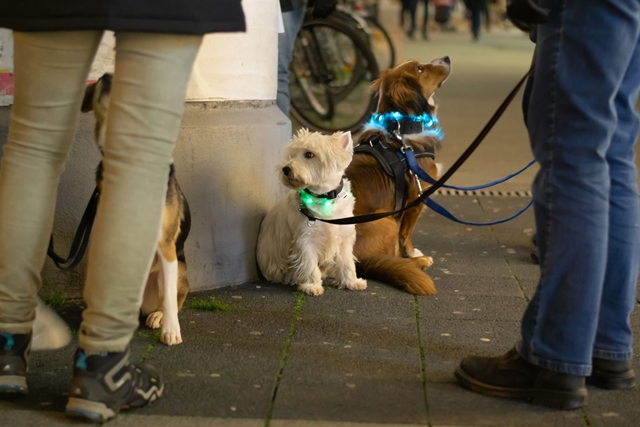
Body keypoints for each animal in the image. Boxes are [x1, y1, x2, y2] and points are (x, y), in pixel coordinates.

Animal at [81, 73, 190, 346]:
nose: (107, 75)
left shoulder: (165, 244)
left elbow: (170, 298)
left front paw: (171, 331)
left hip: (177, 268)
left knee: (172, 299)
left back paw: (159, 317)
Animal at [255, 130, 364, 298]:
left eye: (309, 154)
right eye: (292, 155)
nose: (286, 169)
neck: (325, 199)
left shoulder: (344, 238)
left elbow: (346, 263)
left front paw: (352, 282)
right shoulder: (305, 239)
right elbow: (309, 264)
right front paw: (312, 286)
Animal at [348, 56, 452, 296]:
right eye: (420, 69)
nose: (447, 58)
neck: (401, 129)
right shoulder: (417, 197)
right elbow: (407, 234)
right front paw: (412, 253)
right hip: (385, 220)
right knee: (391, 256)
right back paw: (420, 261)